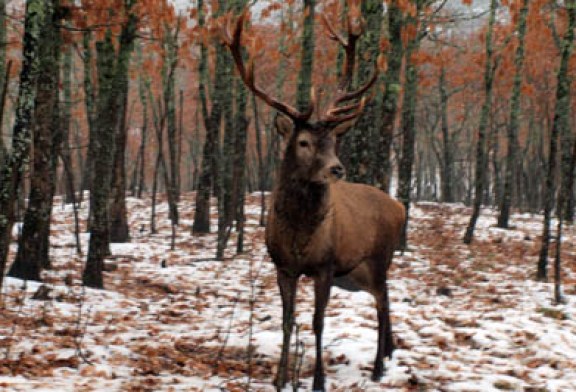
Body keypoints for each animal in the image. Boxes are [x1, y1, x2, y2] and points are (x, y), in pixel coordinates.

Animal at [220, 3, 404, 392]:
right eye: (303, 142)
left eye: (333, 140)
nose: (337, 169)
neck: (300, 236)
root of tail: (399, 206)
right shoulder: (282, 266)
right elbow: (288, 320)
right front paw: (279, 378)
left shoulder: (325, 265)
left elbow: (319, 322)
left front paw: (318, 380)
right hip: (355, 273)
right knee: (385, 299)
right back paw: (388, 354)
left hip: (378, 257)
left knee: (383, 301)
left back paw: (378, 367)